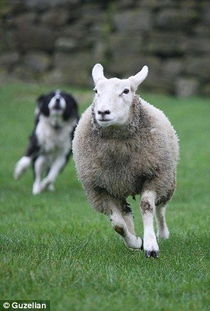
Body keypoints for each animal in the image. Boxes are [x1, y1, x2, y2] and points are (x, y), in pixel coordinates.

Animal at [72, 63, 179, 258]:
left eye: (126, 91)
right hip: (118, 185)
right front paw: (136, 242)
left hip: (167, 180)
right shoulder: (100, 188)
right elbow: (117, 225)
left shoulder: (154, 176)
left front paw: (151, 245)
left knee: (161, 208)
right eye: (96, 91)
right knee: (126, 213)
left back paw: (162, 233)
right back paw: (134, 238)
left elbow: (147, 207)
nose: (103, 112)